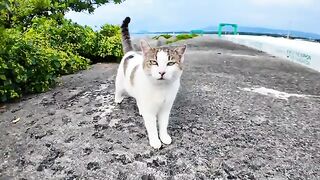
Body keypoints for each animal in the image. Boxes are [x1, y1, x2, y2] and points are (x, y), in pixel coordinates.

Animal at [114, 17, 186, 149]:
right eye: (154, 62)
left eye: (170, 63)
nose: (162, 72)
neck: (160, 89)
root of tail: (131, 53)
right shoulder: (150, 110)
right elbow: (152, 127)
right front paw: (155, 141)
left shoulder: (165, 108)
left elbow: (163, 124)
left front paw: (164, 137)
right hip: (120, 82)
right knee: (118, 90)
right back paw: (118, 99)